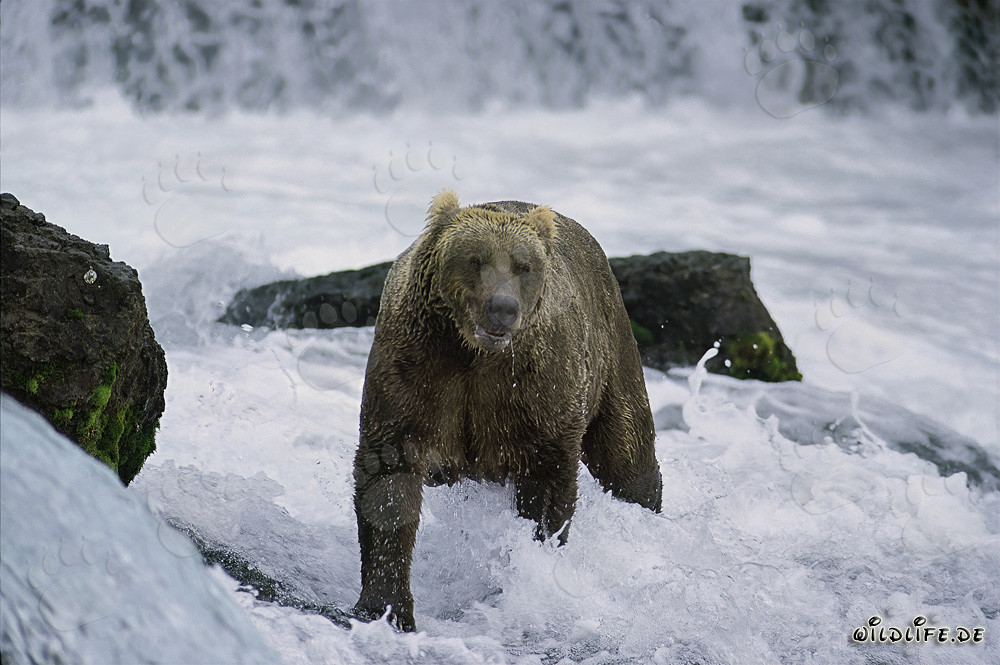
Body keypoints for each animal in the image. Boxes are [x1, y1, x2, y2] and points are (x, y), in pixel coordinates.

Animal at [353, 190, 662, 631]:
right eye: (474, 259)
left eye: (523, 266)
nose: (502, 308)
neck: (473, 354)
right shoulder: (414, 371)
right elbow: (389, 481)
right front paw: (386, 607)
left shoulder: (536, 392)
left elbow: (548, 485)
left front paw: (530, 570)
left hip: (612, 356)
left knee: (628, 458)